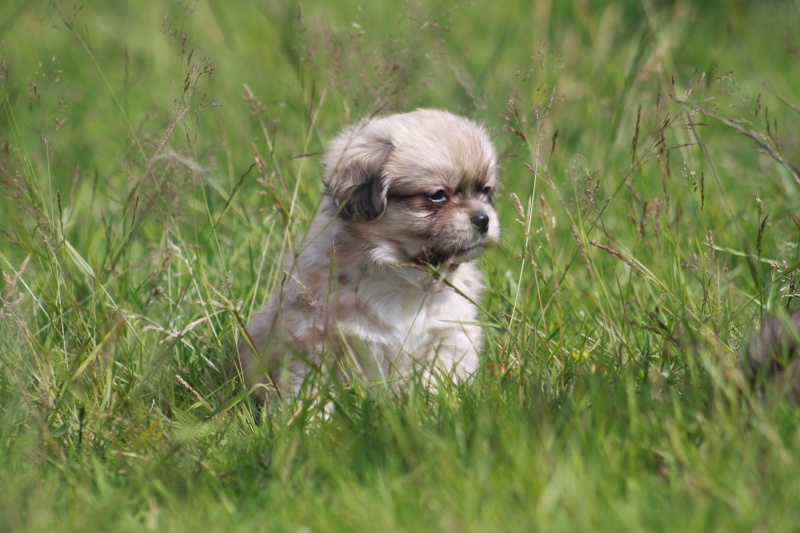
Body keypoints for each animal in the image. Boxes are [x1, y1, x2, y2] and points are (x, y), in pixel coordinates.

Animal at [238, 108, 500, 400]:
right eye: (437, 195)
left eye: (486, 191)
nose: (483, 219)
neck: (404, 274)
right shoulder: (315, 341)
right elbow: (311, 392)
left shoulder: (450, 334)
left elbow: (438, 381)